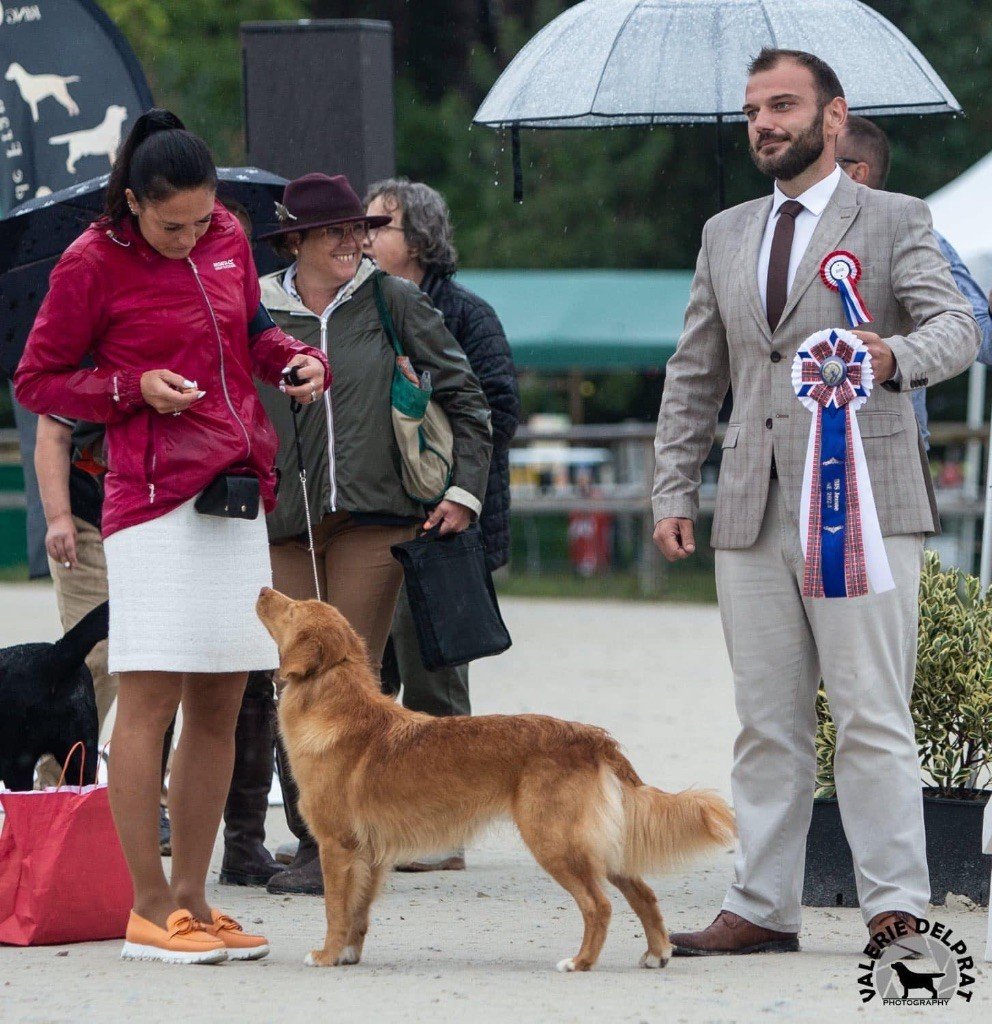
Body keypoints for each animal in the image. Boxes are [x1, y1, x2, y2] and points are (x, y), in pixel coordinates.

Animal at [256, 589, 737, 970]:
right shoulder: (371, 855)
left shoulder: (337, 846)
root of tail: (591, 737)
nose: (263, 589)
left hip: (555, 842)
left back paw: (580, 962)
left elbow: (336, 910)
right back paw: (657, 953)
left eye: (292, 608)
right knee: (644, 895)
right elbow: (359, 914)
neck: (337, 708)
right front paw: (349, 954)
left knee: (598, 905)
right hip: (599, 845)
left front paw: (326, 955)